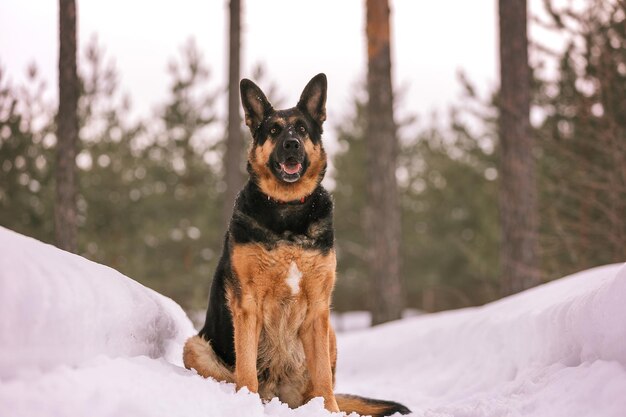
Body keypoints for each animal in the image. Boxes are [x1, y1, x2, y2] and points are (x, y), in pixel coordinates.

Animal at [183, 73, 408, 414]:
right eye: (274, 130)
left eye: (302, 129)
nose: (292, 144)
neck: (287, 211)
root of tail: (277, 393)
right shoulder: (247, 304)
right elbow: (246, 369)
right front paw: (246, 404)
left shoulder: (318, 309)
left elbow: (323, 377)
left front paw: (329, 411)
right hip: (195, 346)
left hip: (330, 334)